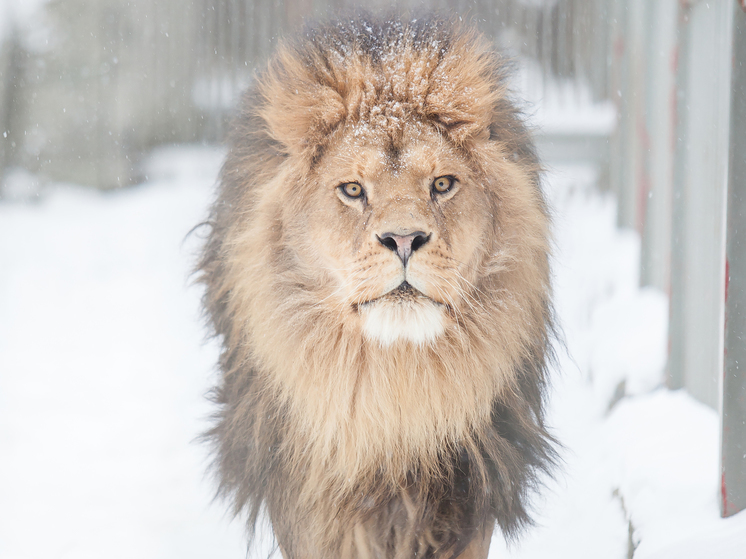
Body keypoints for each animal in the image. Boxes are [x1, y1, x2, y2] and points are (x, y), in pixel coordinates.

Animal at [198, 13, 552, 559]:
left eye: (442, 184)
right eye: (352, 190)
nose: (404, 238)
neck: (388, 393)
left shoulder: (470, 501)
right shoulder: (311, 507)